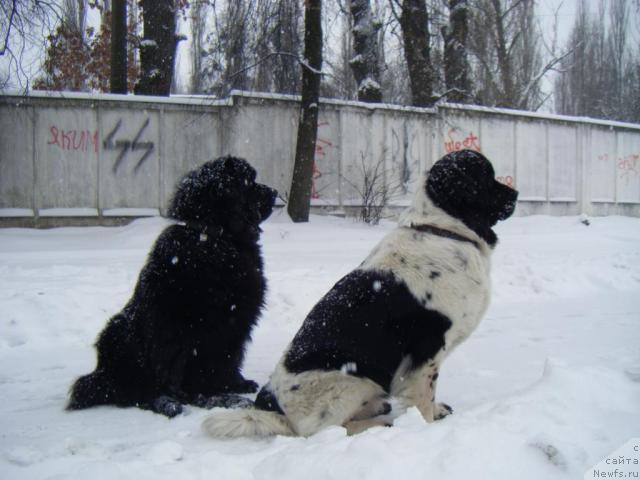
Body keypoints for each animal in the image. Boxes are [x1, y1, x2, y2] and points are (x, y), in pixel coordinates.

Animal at [68, 155, 278, 416]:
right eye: (249, 182)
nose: (275, 191)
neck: (214, 236)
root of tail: (102, 375)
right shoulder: (200, 326)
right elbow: (200, 367)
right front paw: (213, 397)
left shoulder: (236, 323)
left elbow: (230, 357)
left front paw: (235, 384)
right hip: (117, 332)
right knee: (137, 392)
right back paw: (167, 401)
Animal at [205, 149, 520, 436]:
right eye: (486, 176)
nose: (516, 194)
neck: (443, 230)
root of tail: (271, 404)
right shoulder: (427, 348)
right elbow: (422, 395)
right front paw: (426, 428)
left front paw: (437, 410)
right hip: (351, 380)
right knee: (328, 429)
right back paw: (379, 424)